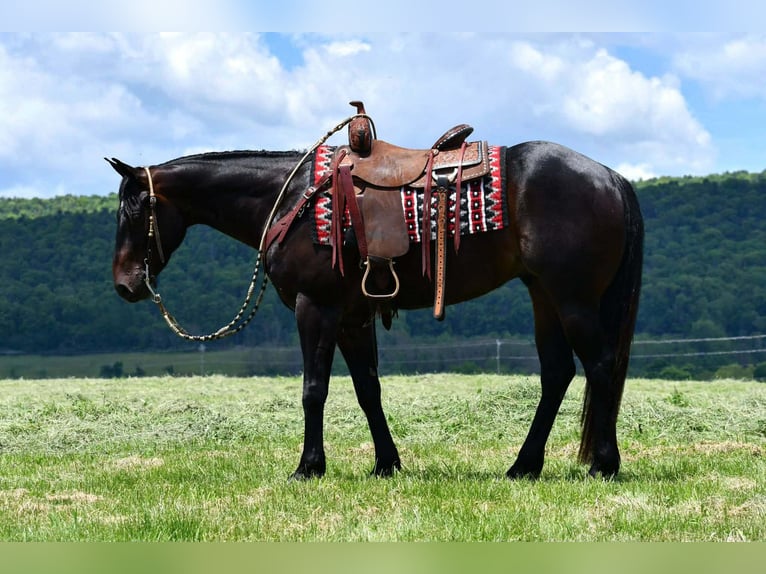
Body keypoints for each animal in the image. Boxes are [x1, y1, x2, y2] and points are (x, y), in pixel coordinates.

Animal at [108, 138, 643, 481]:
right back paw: (523, 466)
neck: (293, 199)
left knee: (599, 366)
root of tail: (610, 176)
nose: (125, 284)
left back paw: (603, 464)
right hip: (543, 295)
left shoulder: (315, 308)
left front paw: (308, 467)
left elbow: (314, 390)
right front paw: (386, 464)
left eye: (134, 211)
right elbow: (368, 391)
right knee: (557, 373)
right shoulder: (351, 317)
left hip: (572, 298)